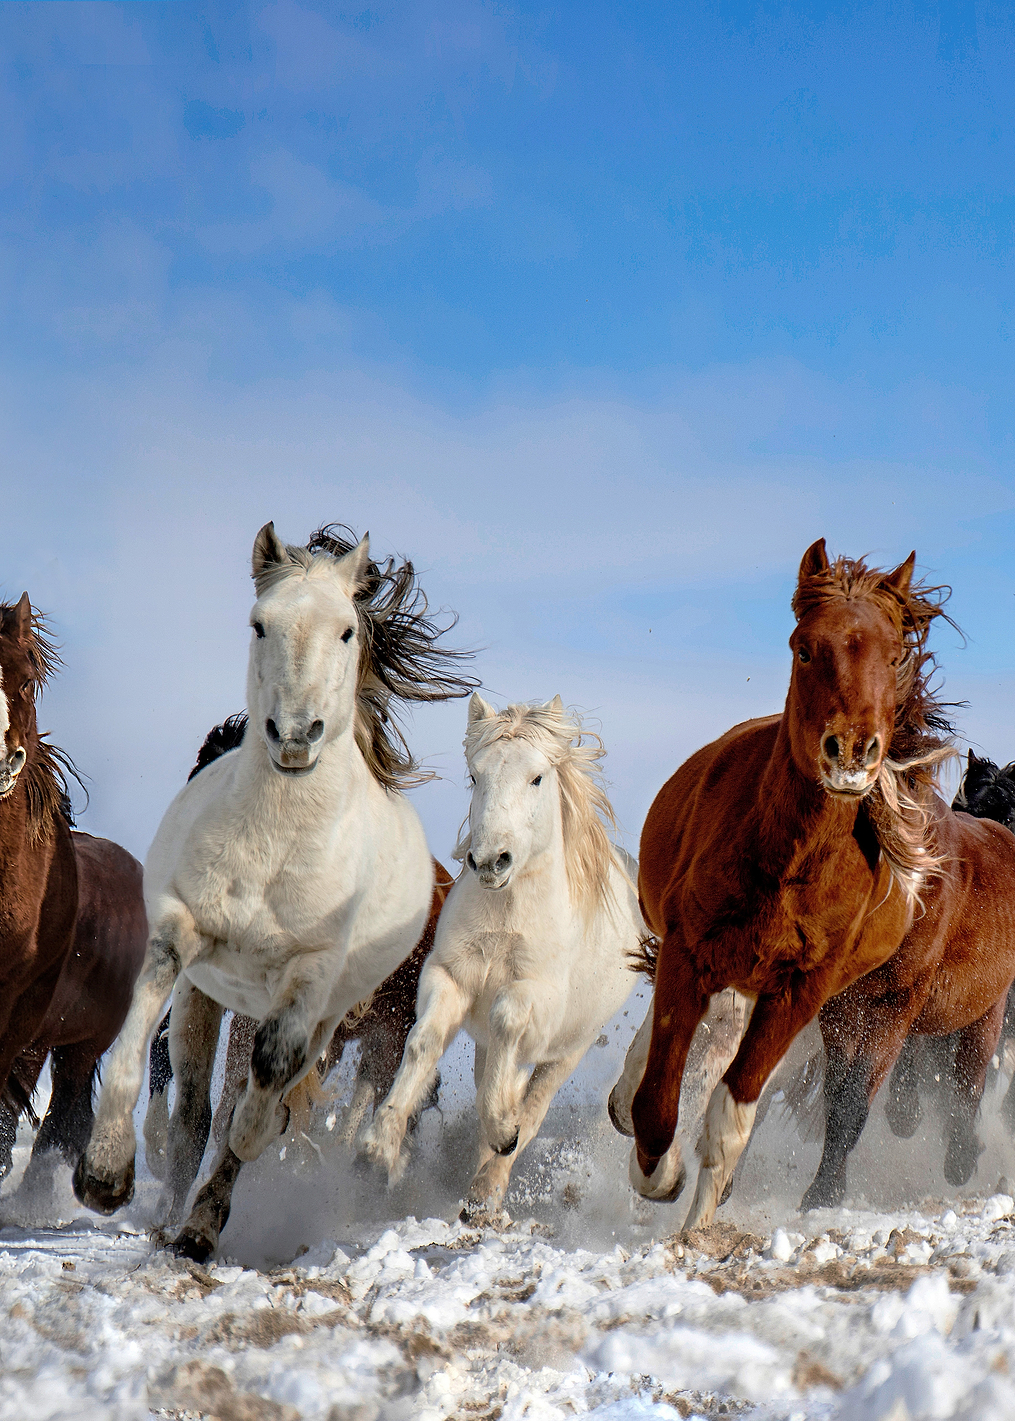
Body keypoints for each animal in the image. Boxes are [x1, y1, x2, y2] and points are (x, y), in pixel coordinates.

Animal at [360, 694, 643, 1220]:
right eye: (476, 776)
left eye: (537, 778)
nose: (492, 861)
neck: (505, 921)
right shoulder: (448, 978)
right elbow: (424, 1042)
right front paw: (378, 1146)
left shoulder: (534, 997)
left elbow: (508, 1019)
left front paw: (502, 1129)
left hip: (568, 1050)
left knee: (532, 1108)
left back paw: (488, 1186)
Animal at [630, 539, 1015, 1227]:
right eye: (805, 647)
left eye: (894, 655)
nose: (852, 752)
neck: (787, 867)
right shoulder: (689, 953)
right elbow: (661, 1093)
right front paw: (663, 1175)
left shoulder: (813, 995)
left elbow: (745, 1109)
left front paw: (709, 1218)